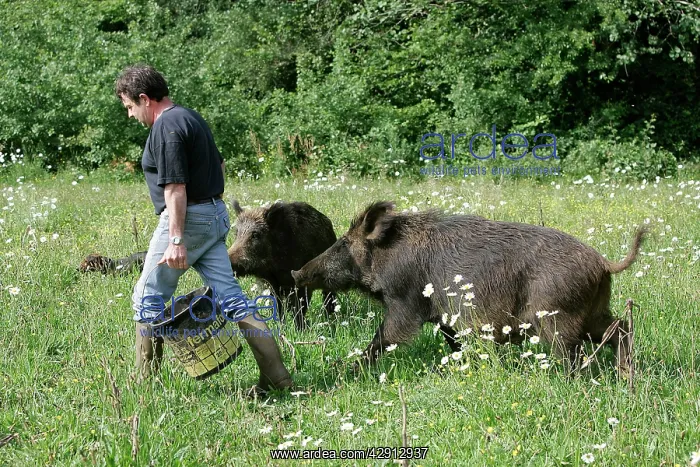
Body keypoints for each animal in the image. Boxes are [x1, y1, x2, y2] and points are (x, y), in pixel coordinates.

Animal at [227, 199, 338, 330]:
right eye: (236, 233)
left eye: (255, 234)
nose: (230, 261)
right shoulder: (271, 286)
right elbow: (278, 308)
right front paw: (281, 327)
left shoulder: (299, 282)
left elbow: (299, 308)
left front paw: (300, 330)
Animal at [291, 201, 647, 372]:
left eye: (343, 244)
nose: (297, 272)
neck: (389, 257)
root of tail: (603, 263)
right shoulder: (443, 317)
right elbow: (453, 343)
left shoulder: (406, 303)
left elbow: (384, 337)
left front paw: (347, 368)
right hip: (595, 312)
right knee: (621, 328)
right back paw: (625, 373)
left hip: (559, 317)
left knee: (574, 351)